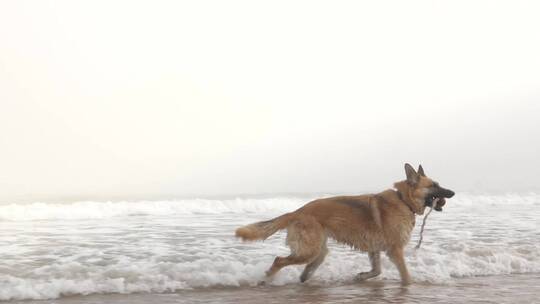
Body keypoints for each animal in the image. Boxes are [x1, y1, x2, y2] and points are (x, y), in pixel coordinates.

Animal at [234, 164, 454, 284]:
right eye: (433, 185)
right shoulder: (395, 250)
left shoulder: (375, 250)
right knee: (279, 260)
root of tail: (297, 211)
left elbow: (377, 270)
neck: (403, 200)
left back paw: (303, 280)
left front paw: (361, 277)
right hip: (309, 251)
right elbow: (405, 276)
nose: (452, 192)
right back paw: (266, 279)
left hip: (318, 252)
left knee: (306, 269)